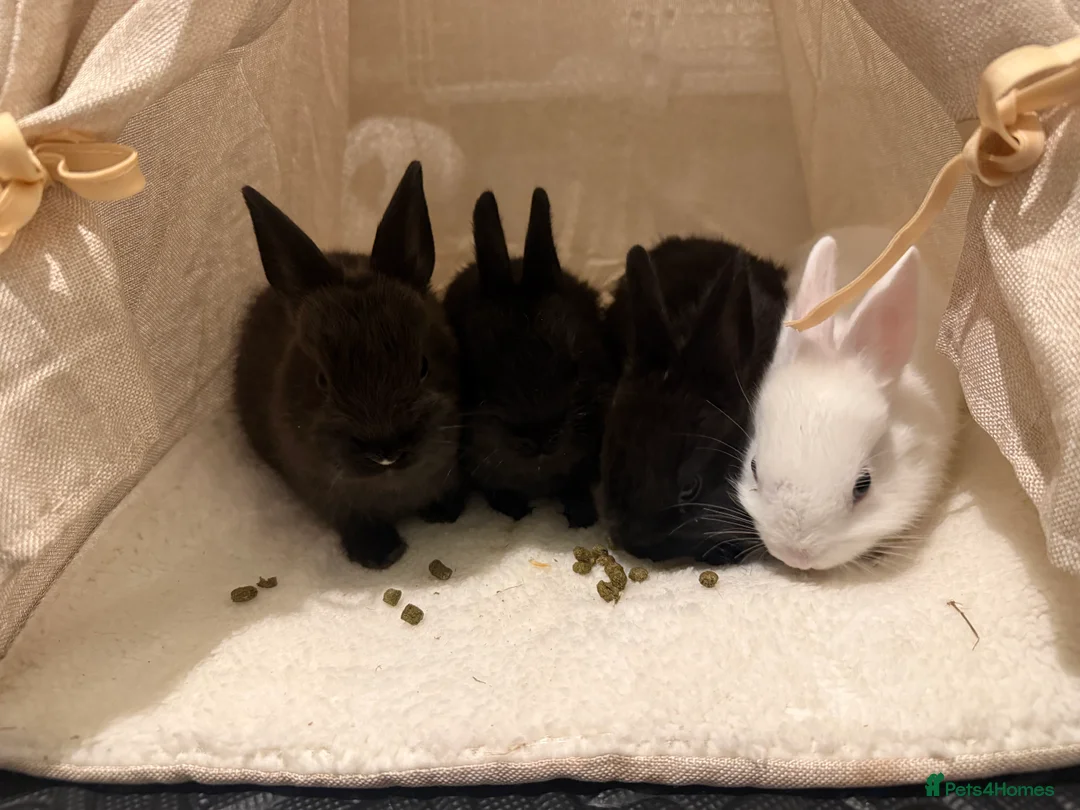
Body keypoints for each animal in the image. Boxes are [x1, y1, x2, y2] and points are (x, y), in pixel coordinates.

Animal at [234, 161, 466, 570]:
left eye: (423, 365)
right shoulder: (328, 494)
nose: (386, 452)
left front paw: (444, 513)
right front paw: (380, 553)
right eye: (322, 380)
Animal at [443, 188, 615, 528]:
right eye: (482, 373)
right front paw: (514, 511)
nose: (540, 436)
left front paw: (583, 518)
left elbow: (576, 488)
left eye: (575, 367)